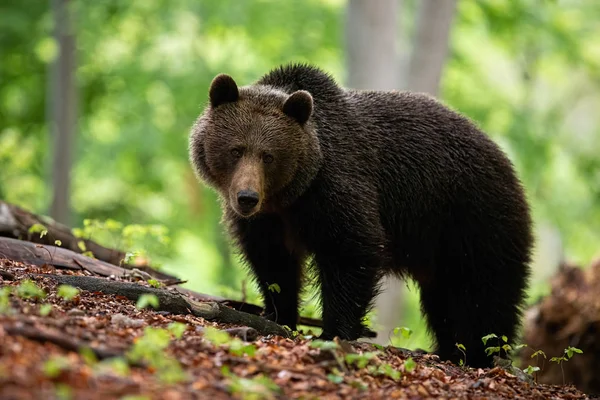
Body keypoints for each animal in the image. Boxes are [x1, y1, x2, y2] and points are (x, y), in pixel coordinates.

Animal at [189, 63, 536, 368]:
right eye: (236, 150)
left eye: (268, 156)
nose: (247, 198)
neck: (291, 197)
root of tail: (506, 161)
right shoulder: (268, 221)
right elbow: (274, 264)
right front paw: (277, 315)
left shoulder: (337, 188)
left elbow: (352, 251)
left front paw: (333, 331)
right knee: (444, 299)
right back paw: (450, 350)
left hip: (473, 218)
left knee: (485, 293)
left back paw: (482, 355)